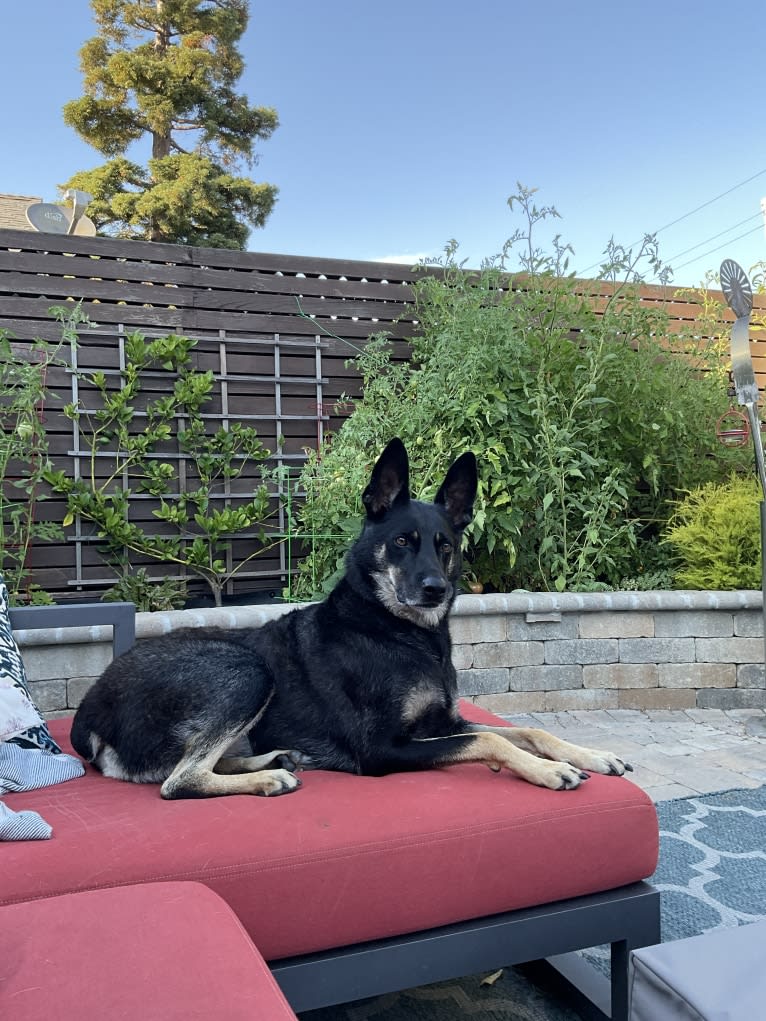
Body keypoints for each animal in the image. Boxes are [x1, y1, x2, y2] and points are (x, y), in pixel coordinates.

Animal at [72, 439, 637, 796]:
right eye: (403, 541)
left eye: (445, 546)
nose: (435, 590)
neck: (399, 632)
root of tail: (91, 711)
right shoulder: (383, 748)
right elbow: (491, 738)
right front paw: (550, 771)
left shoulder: (443, 723)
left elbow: (526, 731)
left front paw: (588, 754)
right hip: (247, 670)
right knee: (178, 779)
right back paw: (266, 777)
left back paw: (274, 759)